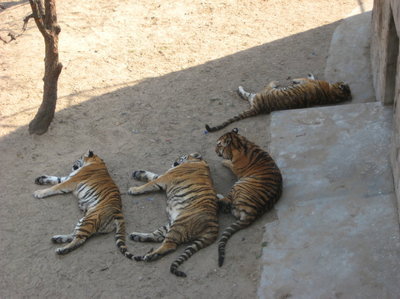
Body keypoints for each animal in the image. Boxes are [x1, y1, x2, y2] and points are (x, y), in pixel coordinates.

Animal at [205, 73, 352, 132]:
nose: (344, 82)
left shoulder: (308, 81)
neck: (332, 94)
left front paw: (295, 79)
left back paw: (273, 82)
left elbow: (306, 78)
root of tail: (257, 108)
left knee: (247, 93)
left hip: (262, 92)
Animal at [214, 129, 282, 268]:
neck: (240, 143)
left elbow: (229, 163)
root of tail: (253, 212)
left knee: (226, 204)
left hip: (238, 184)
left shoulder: (235, 167)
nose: (214, 150)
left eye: (219, 145)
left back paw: (217, 196)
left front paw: (223, 162)